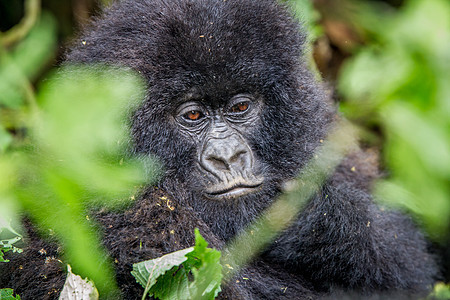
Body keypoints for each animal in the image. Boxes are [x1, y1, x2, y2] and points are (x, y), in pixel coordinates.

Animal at [0, 0, 436, 300]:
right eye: (192, 115)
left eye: (240, 107)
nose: (227, 157)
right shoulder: (124, 212)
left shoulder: (323, 134)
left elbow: (408, 264)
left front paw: (314, 221)